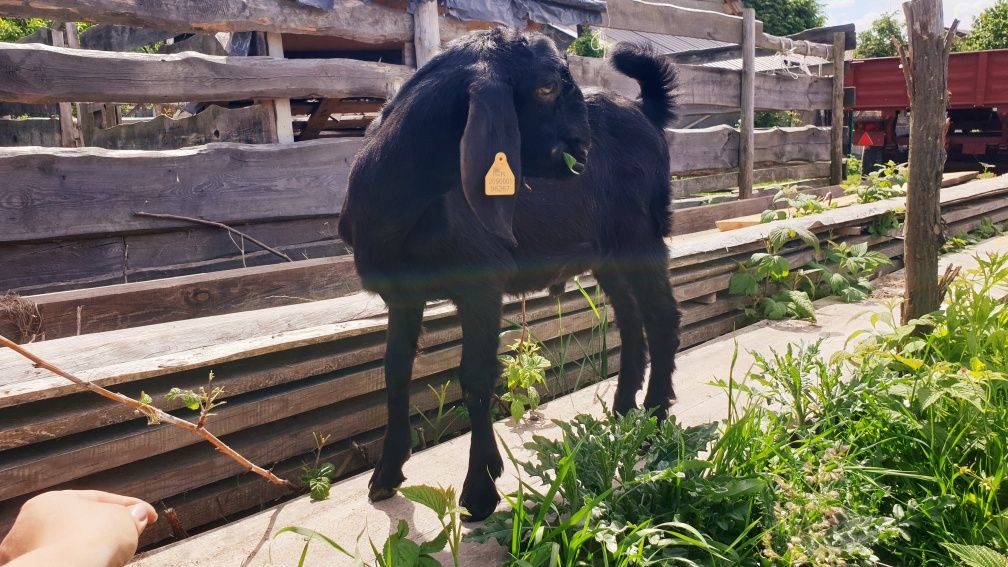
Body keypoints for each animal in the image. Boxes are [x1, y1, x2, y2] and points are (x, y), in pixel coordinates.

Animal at [340, 28, 685, 520]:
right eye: (546, 87)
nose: (583, 146)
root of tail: (644, 111)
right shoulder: (403, 295)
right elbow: (395, 372)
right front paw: (386, 475)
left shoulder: (480, 284)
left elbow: (475, 377)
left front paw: (480, 489)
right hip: (608, 252)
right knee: (631, 321)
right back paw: (622, 412)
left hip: (641, 235)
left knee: (661, 319)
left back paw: (654, 419)